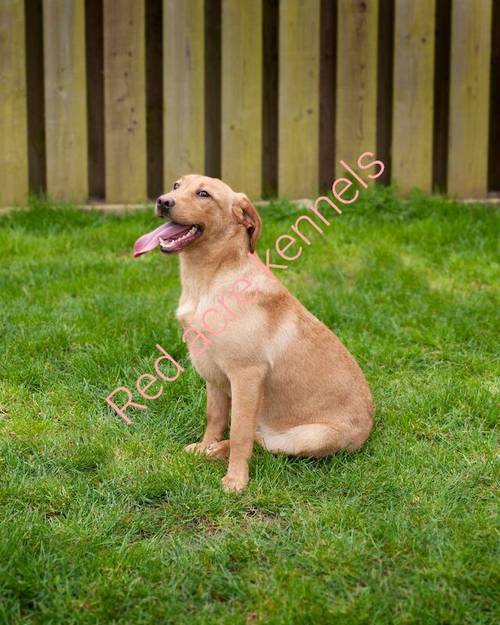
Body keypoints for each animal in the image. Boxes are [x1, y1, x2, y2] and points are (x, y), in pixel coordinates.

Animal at [135, 173, 374, 490]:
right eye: (176, 185)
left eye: (203, 194)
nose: (163, 201)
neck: (208, 281)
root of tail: (370, 427)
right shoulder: (213, 376)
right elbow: (215, 418)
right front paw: (205, 446)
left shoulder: (247, 375)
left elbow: (239, 433)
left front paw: (236, 480)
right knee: (258, 437)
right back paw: (212, 450)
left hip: (310, 437)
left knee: (264, 443)